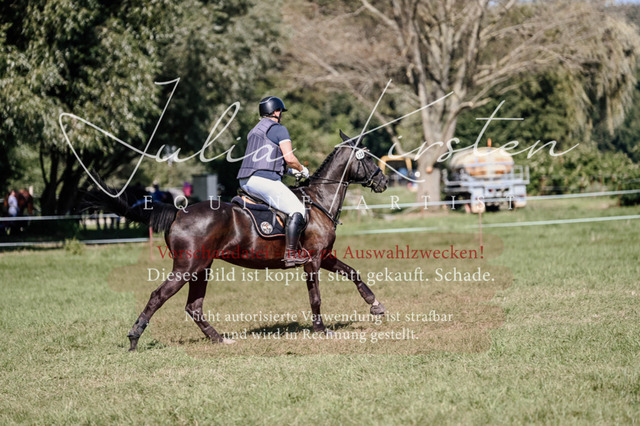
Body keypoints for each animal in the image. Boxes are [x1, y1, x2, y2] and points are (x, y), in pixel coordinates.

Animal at [92, 131, 389, 351]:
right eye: (368, 158)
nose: (384, 181)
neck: (319, 201)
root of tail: (178, 212)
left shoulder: (324, 256)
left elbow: (353, 273)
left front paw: (375, 305)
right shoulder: (313, 260)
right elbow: (315, 297)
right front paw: (321, 329)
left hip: (202, 268)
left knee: (194, 306)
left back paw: (219, 339)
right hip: (187, 268)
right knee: (158, 296)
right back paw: (134, 338)